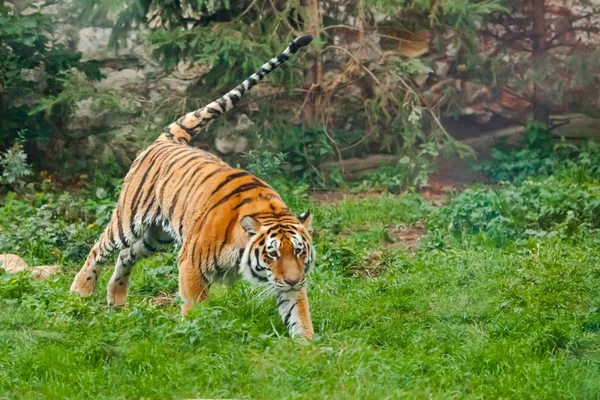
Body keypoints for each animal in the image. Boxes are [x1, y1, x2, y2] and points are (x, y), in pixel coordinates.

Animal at [70, 35, 316, 340]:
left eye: (298, 251)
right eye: (272, 253)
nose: (293, 279)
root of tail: (169, 139)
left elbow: (298, 313)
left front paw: (308, 345)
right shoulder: (190, 264)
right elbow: (195, 308)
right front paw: (196, 336)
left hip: (157, 236)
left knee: (127, 255)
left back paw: (116, 299)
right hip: (128, 220)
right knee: (100, 249)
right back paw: (80, 291)